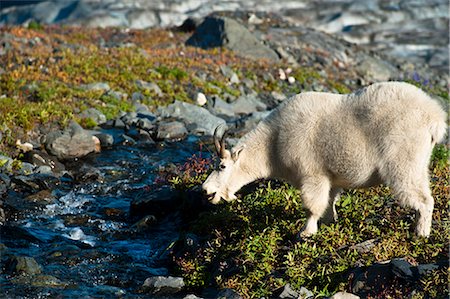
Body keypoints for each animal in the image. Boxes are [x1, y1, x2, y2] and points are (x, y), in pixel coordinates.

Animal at [203, 81, 446, 237]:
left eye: (222, 166)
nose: (206, 190)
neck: (273, 143)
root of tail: (434, 118)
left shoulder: (312, 174)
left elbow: (313, 205)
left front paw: (306, 232)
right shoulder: (332, 177)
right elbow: (330, 201)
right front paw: (330, 221)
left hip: (404, 160)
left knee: (423, 199)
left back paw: (421, 233)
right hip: (420, 162)